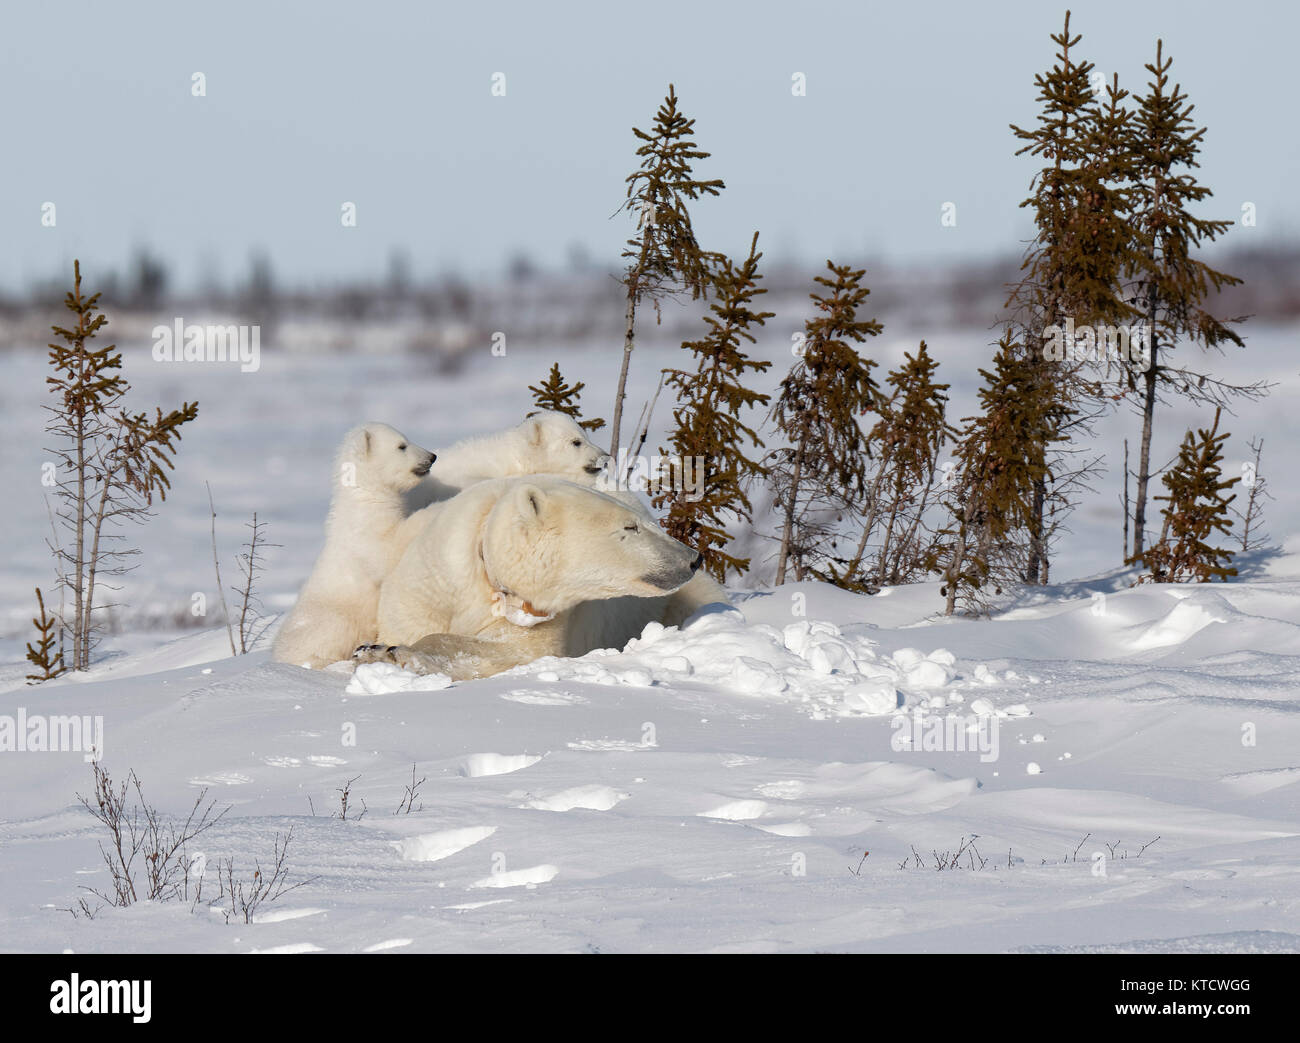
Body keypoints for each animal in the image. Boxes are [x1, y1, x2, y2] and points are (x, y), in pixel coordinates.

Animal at [273, 421, 436, 665]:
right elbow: (387, 552)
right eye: (402, 446)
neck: (365, 495)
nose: (432, 456)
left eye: (405, 440)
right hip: (329, 618)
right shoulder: (364, 531)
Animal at [361, 475, 728, 676]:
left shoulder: (543, 618)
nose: (693, 558)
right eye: (630, 527)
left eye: (640, 522)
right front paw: (376, 649)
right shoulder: (430, 587)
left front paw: (394, 652)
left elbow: (515, 652)